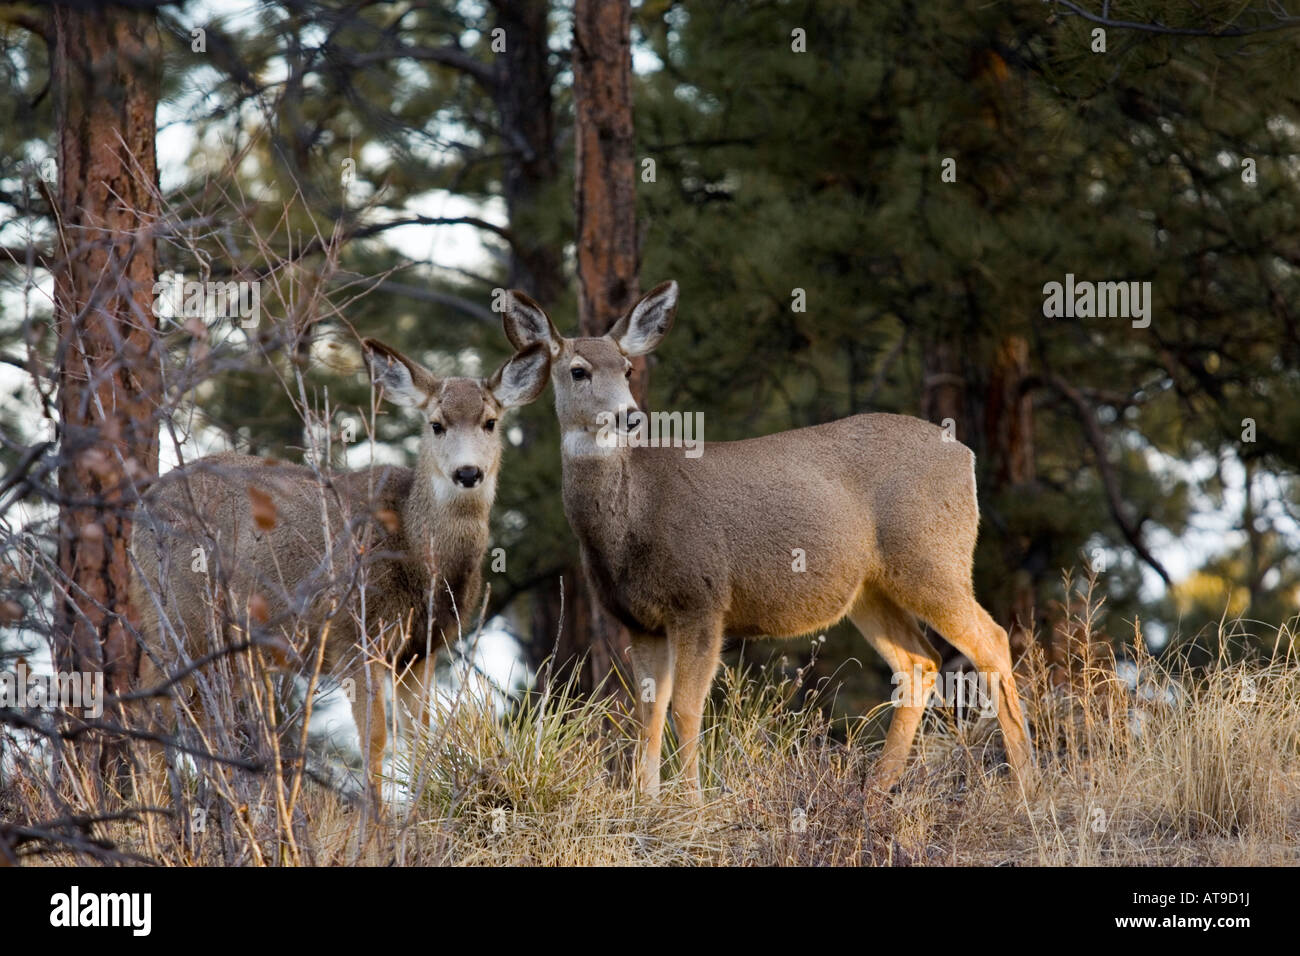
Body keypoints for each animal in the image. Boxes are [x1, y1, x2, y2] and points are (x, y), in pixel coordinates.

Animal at [129, 337, 550, 798]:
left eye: (490, 422)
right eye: (436, 424)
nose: (468, 472)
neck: (418, 552)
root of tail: (141, 505)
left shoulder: (420, 652)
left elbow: (422, 736)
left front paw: (420, 813)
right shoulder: (353, 636)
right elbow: (376, 738)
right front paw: (376, 817)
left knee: (198, 714)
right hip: (178, 615)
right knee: (151, 707)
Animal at [500, 281, 1036, 800]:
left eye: (628, 369)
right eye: (578, 371)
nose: (629, 416)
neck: (632, 519)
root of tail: (964, 454)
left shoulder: (702, 599)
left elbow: (686, 708)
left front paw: (692, 808)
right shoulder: (639, 620)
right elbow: (647, 714)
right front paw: (645, 805)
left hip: (931, 555)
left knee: (991, 640)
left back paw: (1027, 790)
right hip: (870, 588)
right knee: (919, 662)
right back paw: (873, 794)